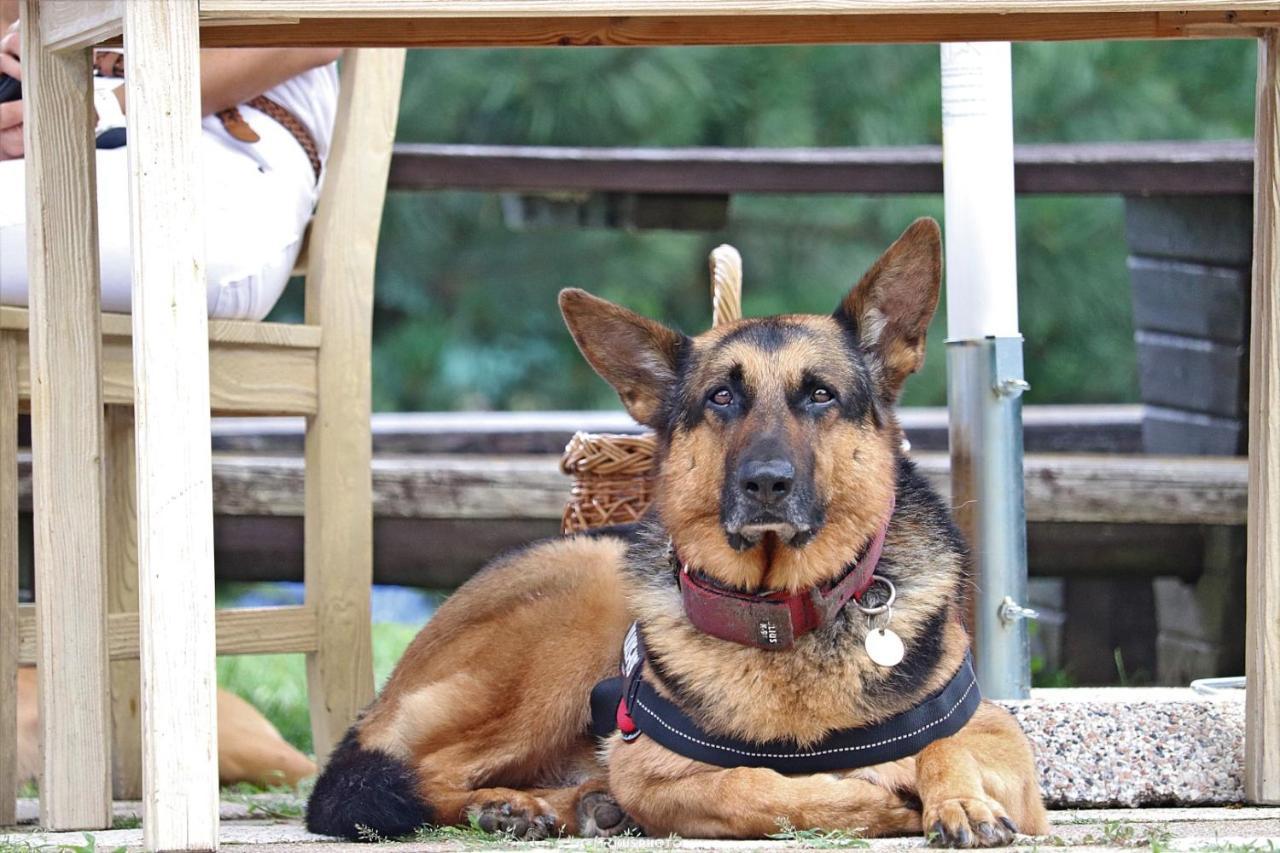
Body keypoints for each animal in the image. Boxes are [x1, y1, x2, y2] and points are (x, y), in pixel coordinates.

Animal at [304, 217, 1044, 845]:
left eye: (820, 395)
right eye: (721, 397)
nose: (766, 483)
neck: (781, 614)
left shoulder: (1001, 739)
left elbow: (944, 743)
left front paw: (959, 800)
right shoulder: (653, 771)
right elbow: (757, 789)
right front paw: (876, 794)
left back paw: (567, 804)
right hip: (577, 608)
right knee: (403, 779)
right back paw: (516, 806)